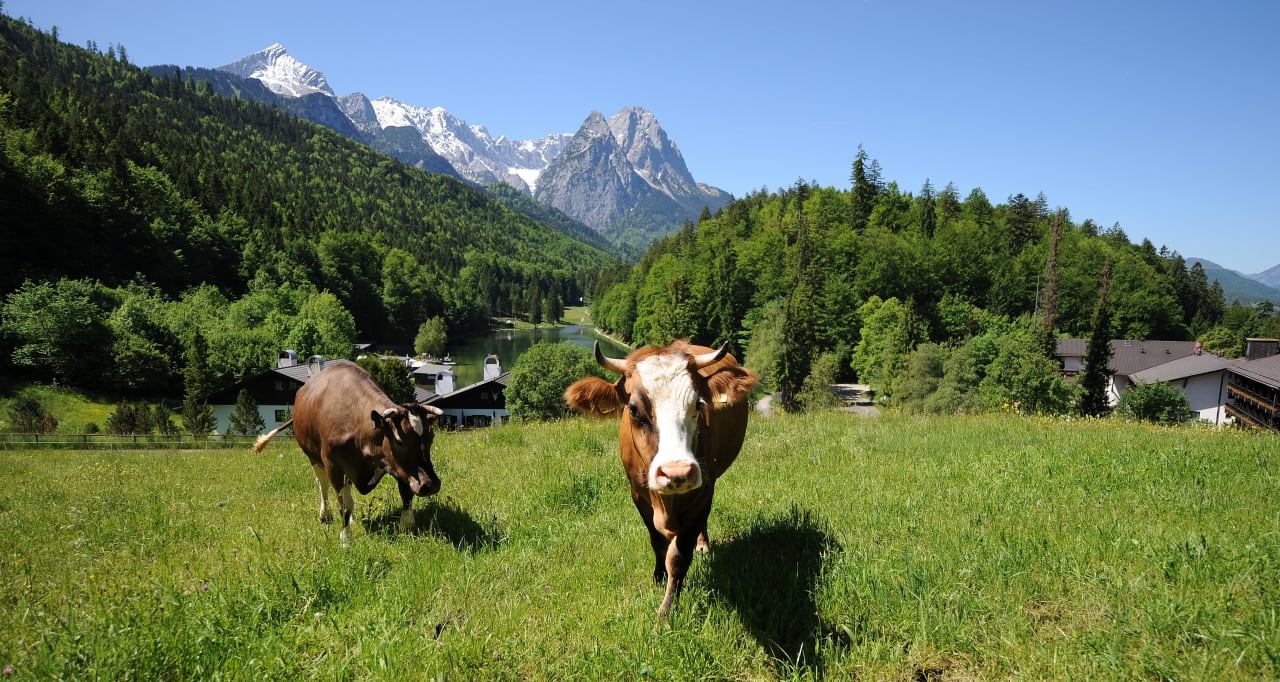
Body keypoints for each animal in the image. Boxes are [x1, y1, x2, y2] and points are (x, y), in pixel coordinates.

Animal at [253, 359, 444, 544]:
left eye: (431, 438)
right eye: (399, 441)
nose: (431, 485)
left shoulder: (394, 465)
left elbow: (406, 493)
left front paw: (407, 526)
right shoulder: (333, 465)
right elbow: (343, 504)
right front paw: (346, 539)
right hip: (313, 458)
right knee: (323, 484)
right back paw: (325, 515)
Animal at [565, 340, 757, 622]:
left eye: (698, 405)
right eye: (634, 409)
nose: (677, 472)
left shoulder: (703, 492)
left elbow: (678, 555)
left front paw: (666, 609)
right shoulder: (638, 493)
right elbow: (657, 542)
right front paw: (658, 577)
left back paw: (703, 544)